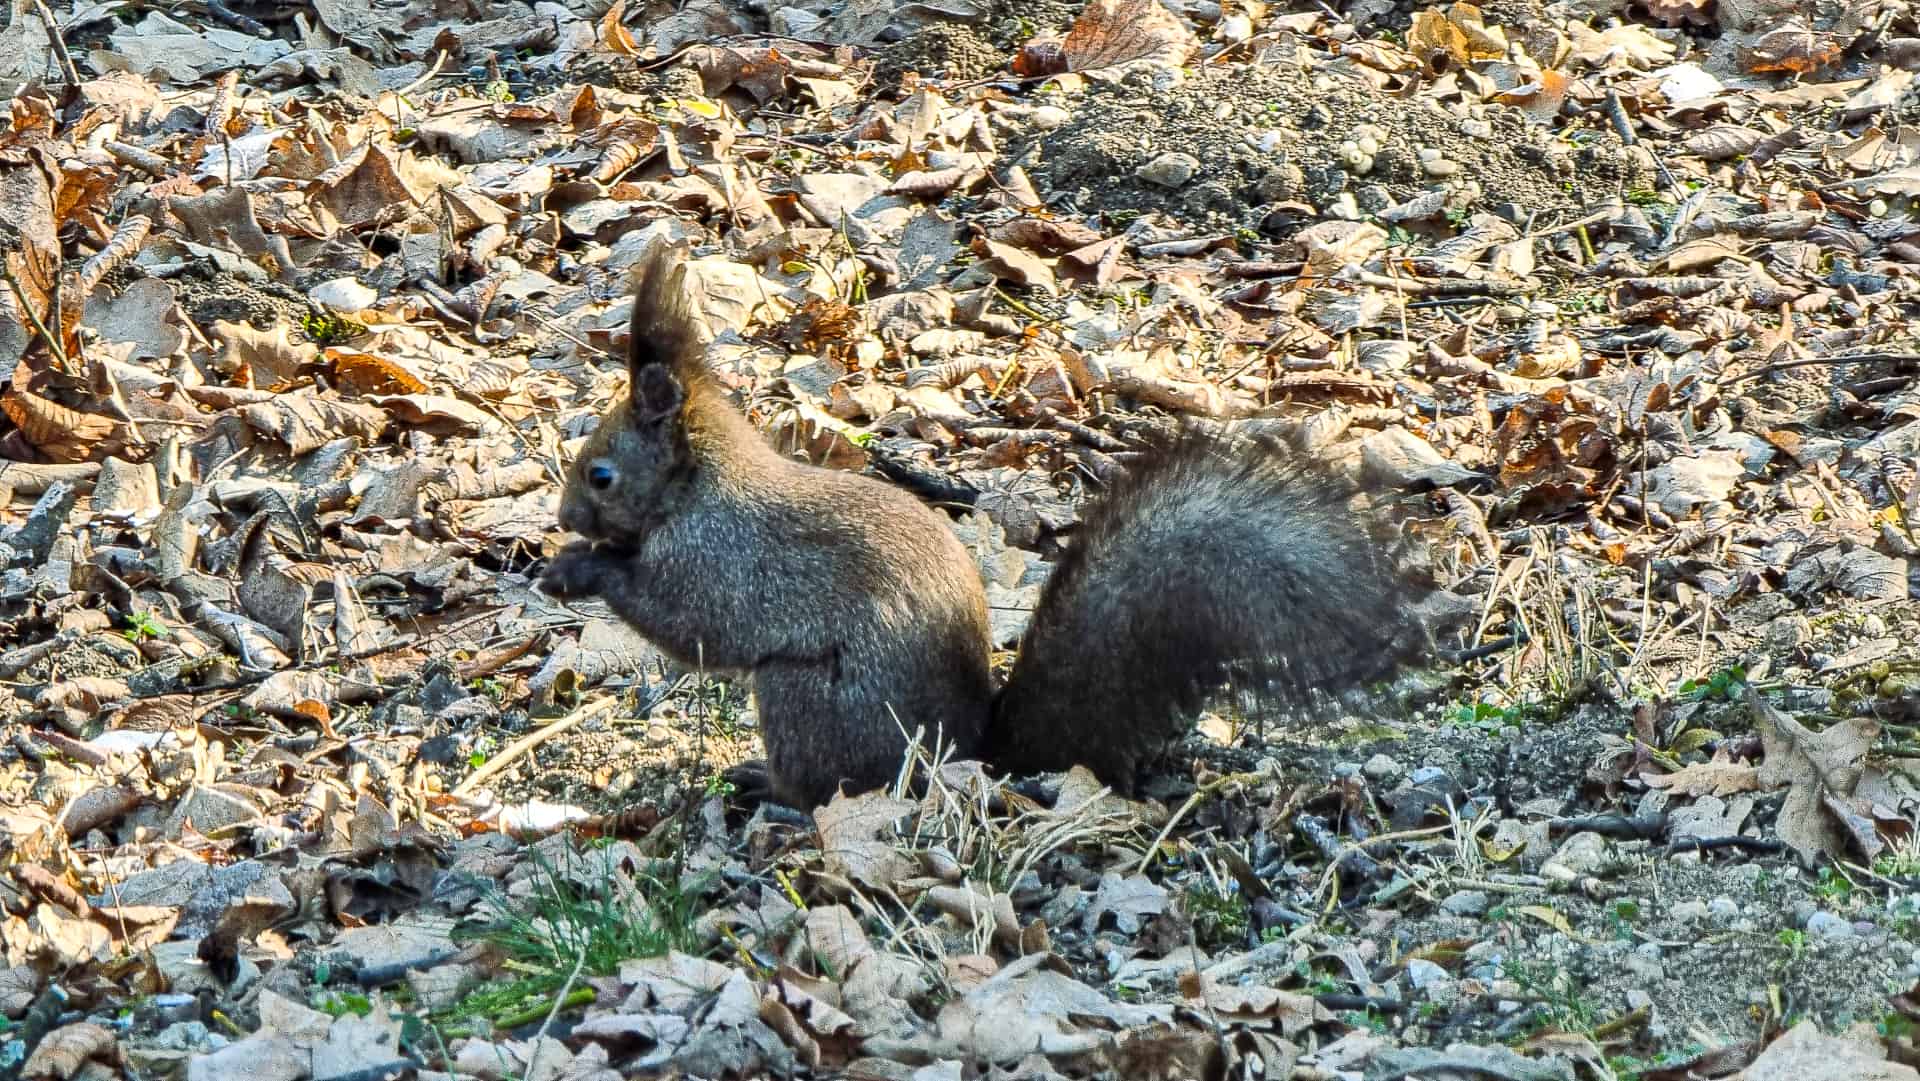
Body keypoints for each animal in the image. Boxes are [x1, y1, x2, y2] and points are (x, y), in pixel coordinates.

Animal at [541, 239, 1451, 814]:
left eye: (601, 473)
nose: (563, 516)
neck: (700, 491)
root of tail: (972, 754)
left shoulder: (721, 561)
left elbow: (691, 622)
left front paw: (580, 568)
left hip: (806, 700)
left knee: (829, 786)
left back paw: (771, 788)